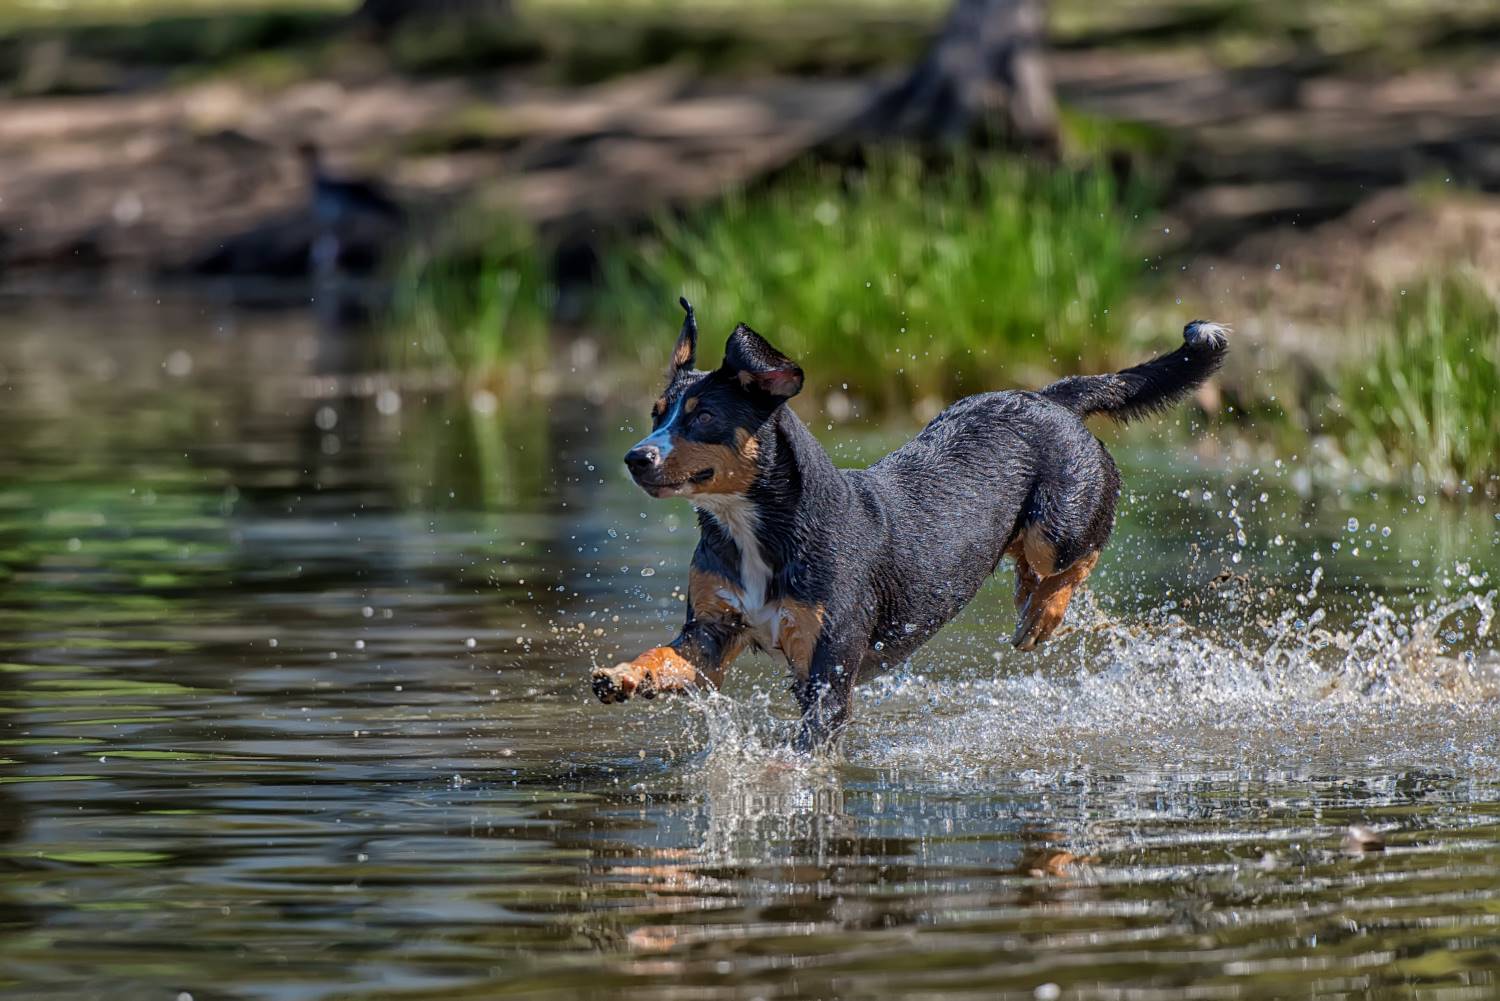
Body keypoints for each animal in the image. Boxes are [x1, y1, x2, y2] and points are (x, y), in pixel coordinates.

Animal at [591, 297, 1224, 744]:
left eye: (703, 418)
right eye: (656, 414)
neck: (756, 534)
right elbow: (664, 657)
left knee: (1079, 554)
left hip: (1061, 523)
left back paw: (1044, 611)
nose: (635, 457)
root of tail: (1049, 396)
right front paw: (622, 676)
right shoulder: (710, 634)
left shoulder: (827, 673)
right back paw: (1029, 599)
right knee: (1030, 562)